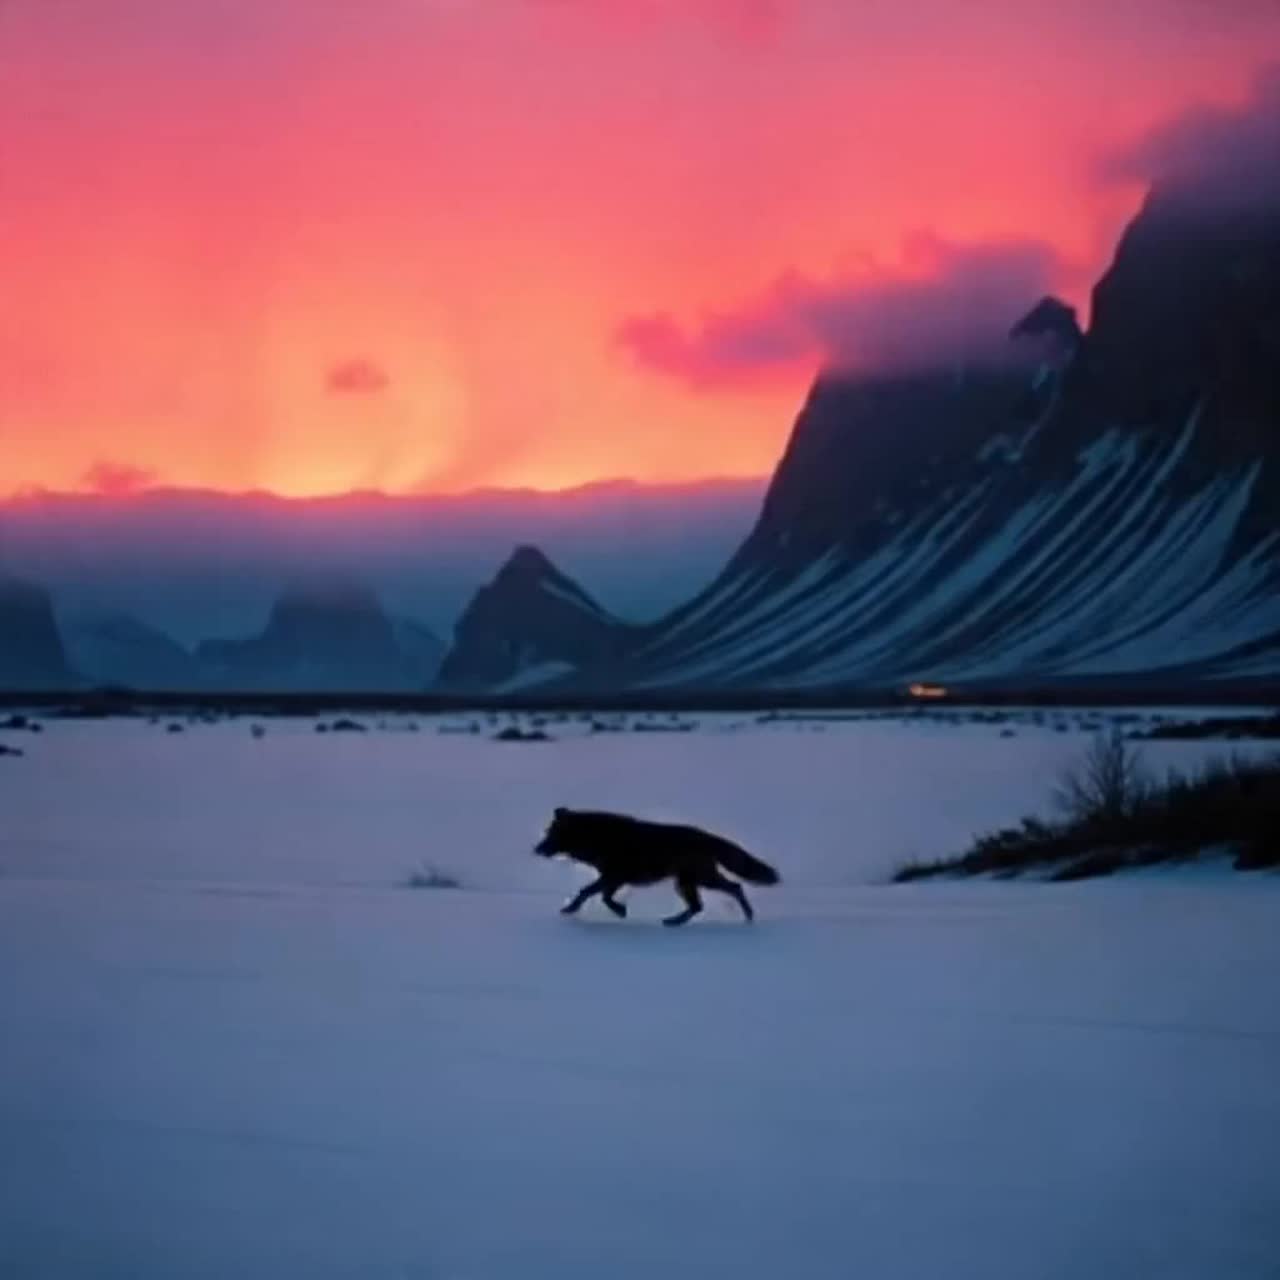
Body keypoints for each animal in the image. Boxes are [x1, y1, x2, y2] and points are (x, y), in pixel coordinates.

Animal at [534, 807, 780, 926]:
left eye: (550, 834)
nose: (536, 850)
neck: (595, 836)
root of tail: (707, 836)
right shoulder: (614, 878)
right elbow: (600, 895)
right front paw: (618, 910)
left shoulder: (614, 876)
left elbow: (590, 892)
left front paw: (573, 909)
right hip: (687, 880)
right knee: (700, 905)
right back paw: (673, 921)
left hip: (696, 878)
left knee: (731, 889)